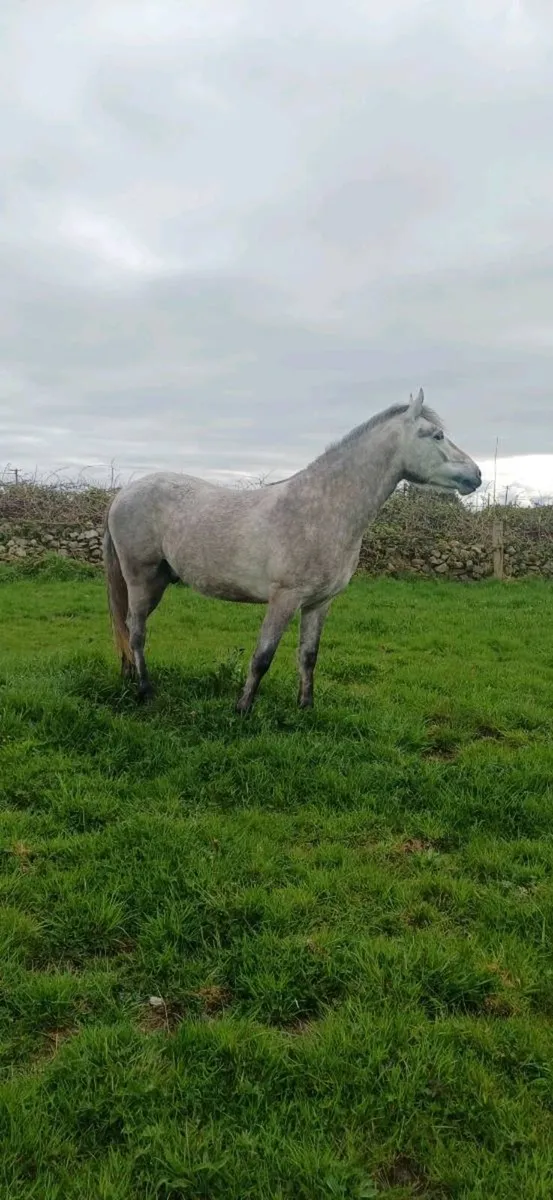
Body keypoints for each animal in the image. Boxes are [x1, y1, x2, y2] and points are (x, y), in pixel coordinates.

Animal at [103, 389, 481, 712]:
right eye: (436, 435)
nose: (475, 476)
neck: (321, 509)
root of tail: (124, 494)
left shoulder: (319, 603)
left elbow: (308, 655)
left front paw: (306, 708)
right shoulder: (284, 598)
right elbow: (262, 656)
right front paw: (242, 710)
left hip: (159, 581)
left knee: (130, 627)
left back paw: (131, 677)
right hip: (141, 579)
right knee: (136, 631)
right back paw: (145, 691)